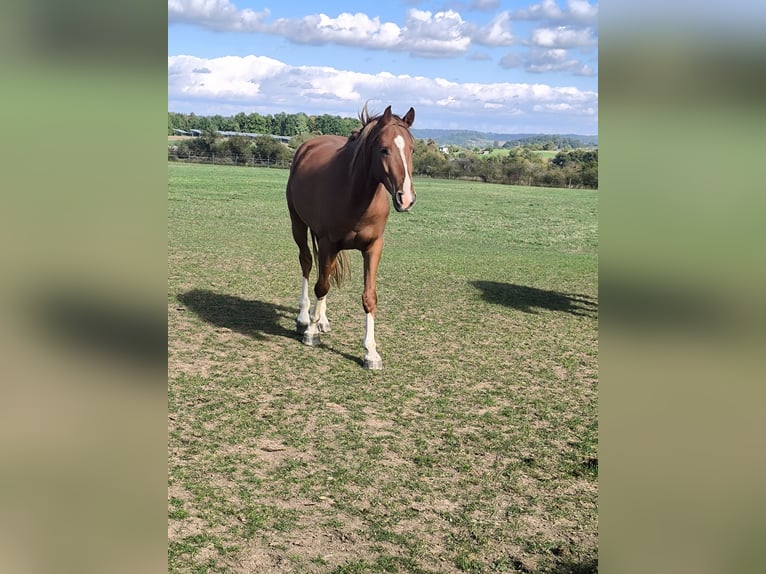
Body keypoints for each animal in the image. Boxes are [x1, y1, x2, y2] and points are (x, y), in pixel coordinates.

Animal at [285, 104, 416, 369]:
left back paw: (322, 320)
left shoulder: (373, 247)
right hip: (298, 225)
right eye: (384, 149)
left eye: (412, 149)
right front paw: (311, 332)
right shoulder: (328, 243)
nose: (406, 198)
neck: (356, 194)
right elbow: (321, 286)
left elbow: (369, 297)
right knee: (307, 264)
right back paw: (304, 317)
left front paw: (371, 353)